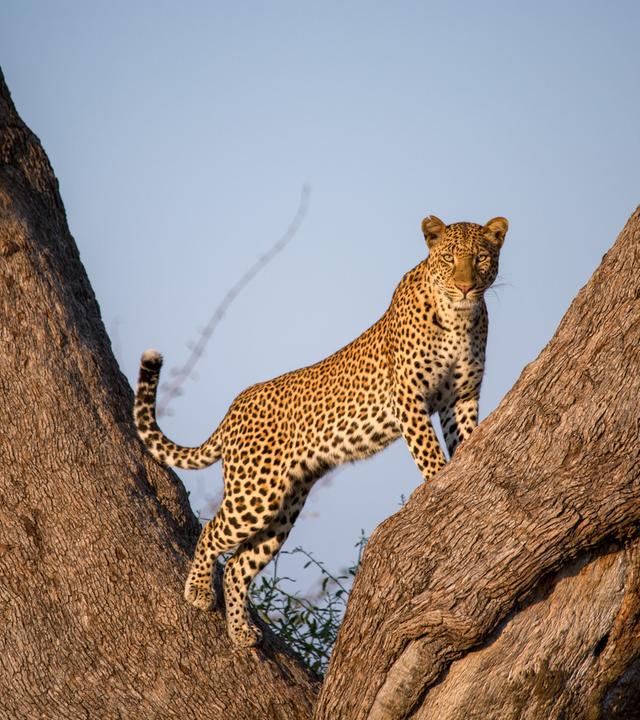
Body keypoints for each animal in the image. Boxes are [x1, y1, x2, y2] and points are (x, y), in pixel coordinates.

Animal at [133, 214, 508, 647]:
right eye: (449, 258)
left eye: (481, 258)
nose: (465, 286)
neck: (458, 319)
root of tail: (234, 409)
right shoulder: (409, 398)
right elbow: (429, 453)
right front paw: (439, 486)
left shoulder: (461, 399)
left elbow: (463, 438)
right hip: (255, 492)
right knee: (212, 531)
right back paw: (196, 590)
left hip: (284, 505)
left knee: (239, 565)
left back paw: (241, 630)